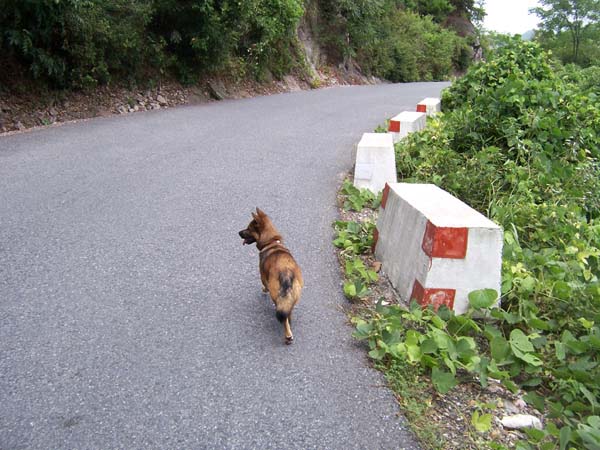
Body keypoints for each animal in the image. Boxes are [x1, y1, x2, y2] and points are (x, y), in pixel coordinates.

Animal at [239, 208, 304, 344]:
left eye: (248, 228)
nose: (238, 233)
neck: (272, 242)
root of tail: (286, 273)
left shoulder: (263, 277)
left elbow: (264, 285)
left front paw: (264, 290)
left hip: (276, 295)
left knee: (283, 317)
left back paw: (288, 335)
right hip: (294, 295)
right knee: (288, 312)